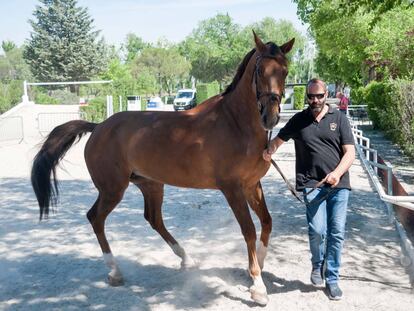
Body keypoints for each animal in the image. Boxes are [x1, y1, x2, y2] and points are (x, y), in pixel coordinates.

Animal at [30, 33, 292, 306]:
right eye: (260, 70)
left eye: (285, 70)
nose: (271, 117)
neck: (234, 123)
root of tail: (98, 126)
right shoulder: (232, 189)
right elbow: (249, 229)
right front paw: (258, 286)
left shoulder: (252, 185)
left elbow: (267, 221)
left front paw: (259, 264)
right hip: (113, 190)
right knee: (96, 218)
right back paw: (115, 271)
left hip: (151, 184)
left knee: (153, 219)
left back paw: (186, 259)